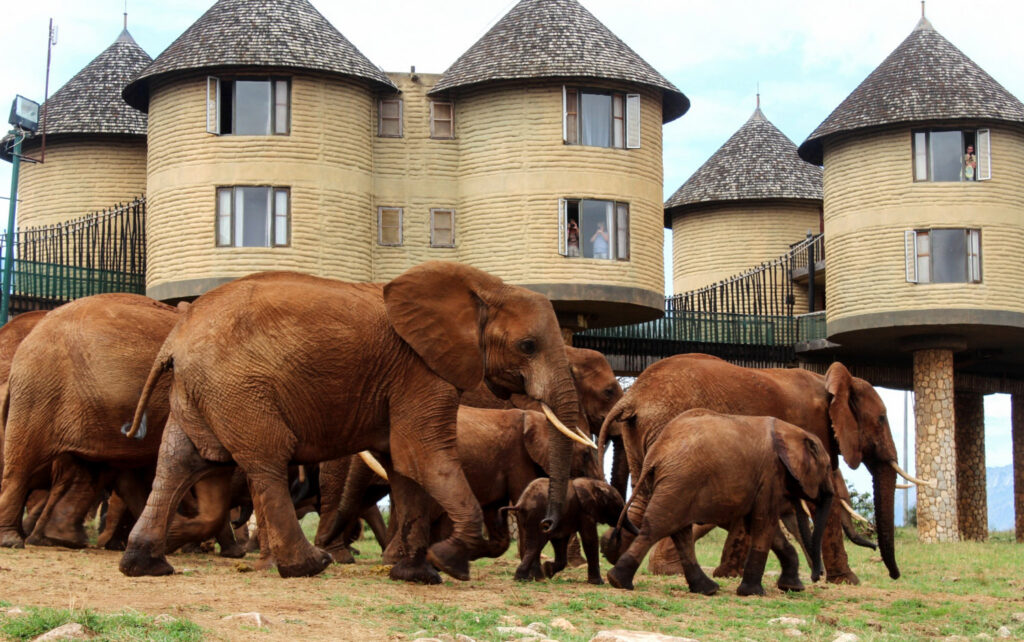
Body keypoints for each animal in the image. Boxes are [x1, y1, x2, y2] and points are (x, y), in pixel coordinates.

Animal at [117, 261, 585, 581]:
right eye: (528, 346)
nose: (546, 522)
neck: (485, 287)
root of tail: (175, 338)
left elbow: (403, 465)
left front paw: (414, 574)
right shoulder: (419, 370)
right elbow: (422, 456)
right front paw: (447, 562)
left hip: (200, 389)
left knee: (179, 461)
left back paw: (145, 564)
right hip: (238, 388)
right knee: (266, 460)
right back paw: (309, 566)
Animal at [602, 411, 835, 597]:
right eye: (827, 468)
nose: (817, 577)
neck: (791, 430)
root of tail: (656, 453)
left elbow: (762, 526)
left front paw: (793, 588)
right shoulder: (771, 474)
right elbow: (764, 523)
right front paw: (753, 593)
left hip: (674, 483)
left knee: (679, 532)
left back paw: (707, 589)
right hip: (680, 480)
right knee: (658, 527)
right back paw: (618, 582)